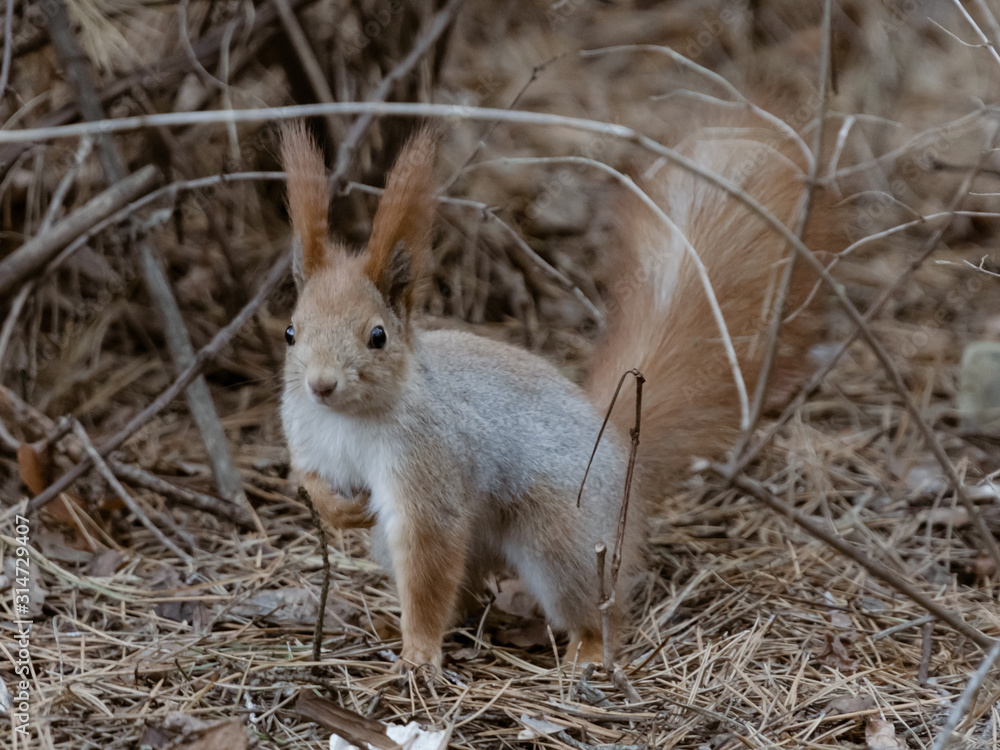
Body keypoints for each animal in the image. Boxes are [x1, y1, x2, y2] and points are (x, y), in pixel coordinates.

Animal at [278, 109, 831, 671]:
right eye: (291, 332)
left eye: (377, 337)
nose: (321, 384)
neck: (349, 418)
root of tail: (616, 443)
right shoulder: (305, 433)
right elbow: (307, 478)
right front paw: (341, 511)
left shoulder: (428, 471)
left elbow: (429, 561)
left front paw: (419, 654)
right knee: (464, 590)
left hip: (563, 539)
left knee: (589, 604)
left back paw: (587, 649)